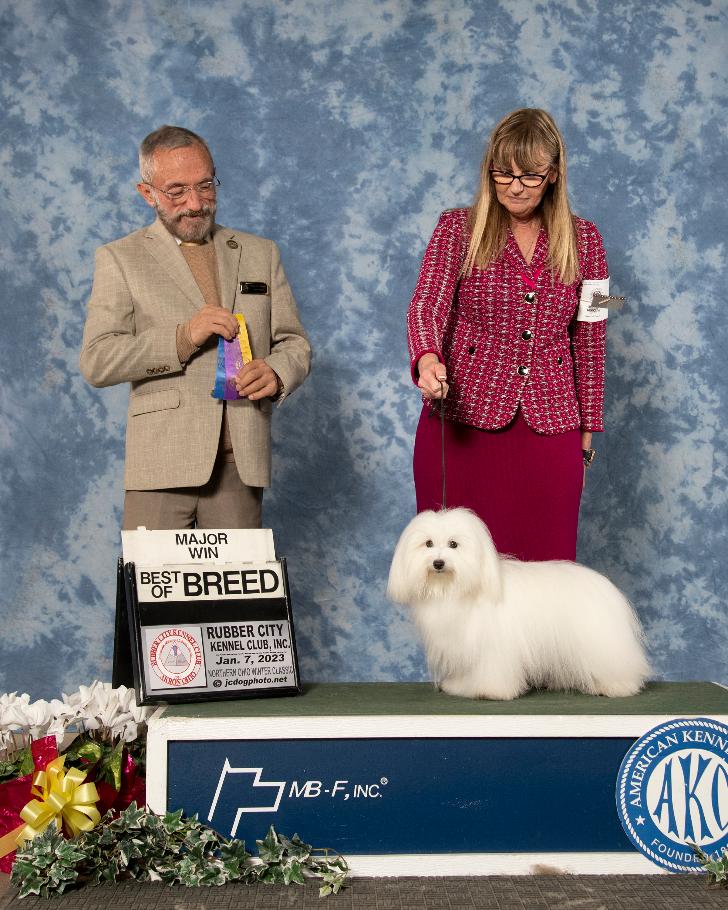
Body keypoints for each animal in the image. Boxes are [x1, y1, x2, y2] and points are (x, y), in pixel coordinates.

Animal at [386, 510, 648, 700]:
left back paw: (617, 686)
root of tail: (605, 585)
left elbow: (492, 670)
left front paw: (490, 691)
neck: (456, 590)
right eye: (428, 543)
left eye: (453, 544)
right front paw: (460, 686)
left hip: (600, 642)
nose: (438, 563)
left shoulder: (492, 646)